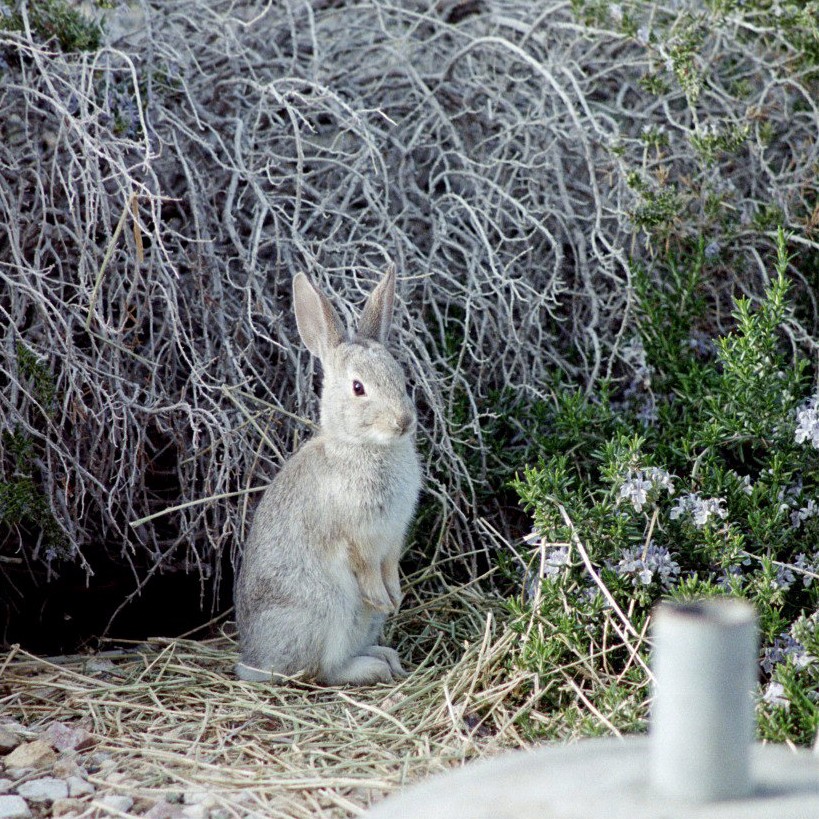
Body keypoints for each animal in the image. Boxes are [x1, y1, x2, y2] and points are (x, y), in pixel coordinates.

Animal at [232, 264, 420, 684]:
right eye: (358, 388)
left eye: (402, 378)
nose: (403, 421)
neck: (363, 446)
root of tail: (254, 661)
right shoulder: (357, 535)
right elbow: (367, 566)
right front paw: (383, 596)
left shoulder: (393, 536)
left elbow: (390, 564)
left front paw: (396, 597)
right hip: (327, 607)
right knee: (321, 672)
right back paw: (374, 667)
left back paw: (388, 657)